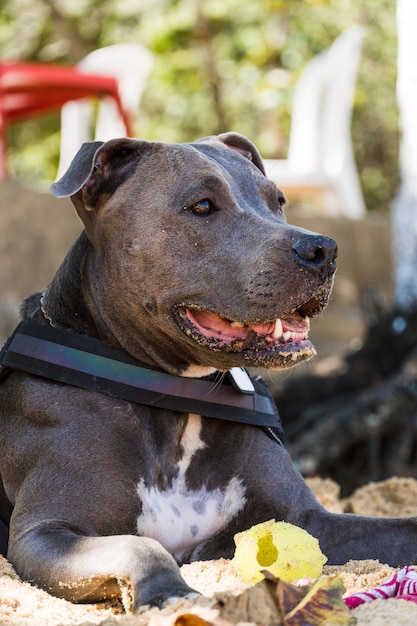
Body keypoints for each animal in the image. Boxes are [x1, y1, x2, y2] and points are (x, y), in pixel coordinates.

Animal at [0, 133, 416, 608]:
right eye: (201, 206)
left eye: (277, 201)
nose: (323, 249)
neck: (179, 396)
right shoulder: (45, 533)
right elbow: (139, 544)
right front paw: (172, 593)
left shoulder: (307, 517)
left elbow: (404, 527)